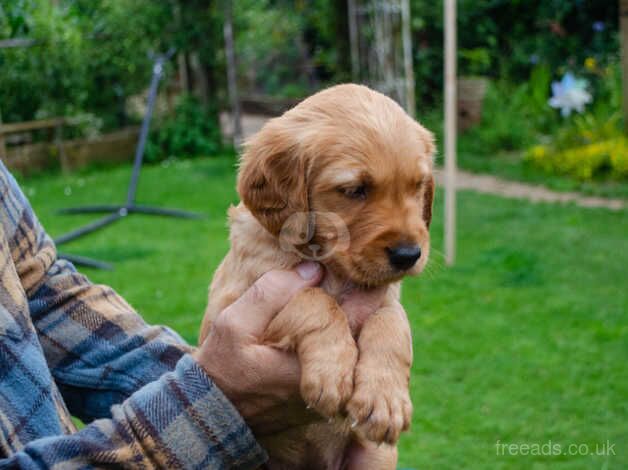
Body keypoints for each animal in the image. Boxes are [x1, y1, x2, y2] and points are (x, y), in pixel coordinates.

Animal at [199, 82, 434, 468]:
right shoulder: (235, 302)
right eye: (354, 190)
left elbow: (392, 322)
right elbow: (314, 299)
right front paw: (332, 372)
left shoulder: (384, 298)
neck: (334, 269)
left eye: (417, 186)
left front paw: (385, 399)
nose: (408, 256)